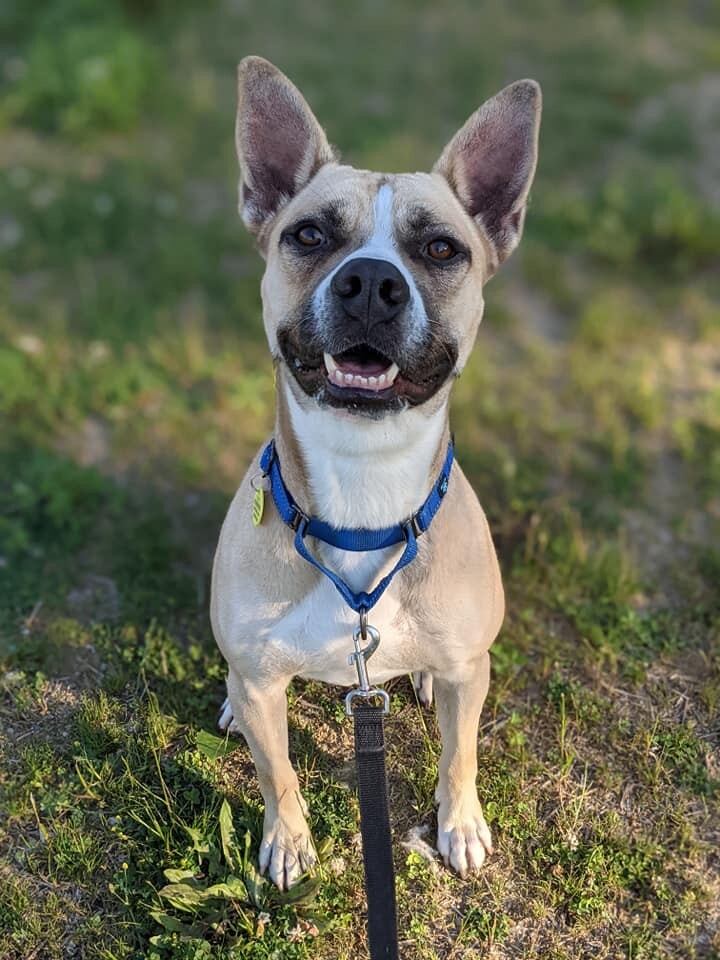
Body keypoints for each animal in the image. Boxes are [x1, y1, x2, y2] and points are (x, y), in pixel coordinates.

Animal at [211, 54, 544, 892]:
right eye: (308, 234)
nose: (368, 282)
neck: (362, 488)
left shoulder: (470, 673)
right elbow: (277, 771)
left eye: (442, 250)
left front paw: (460, 827)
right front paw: (289, 840)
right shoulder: (261, 682)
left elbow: (460, 756)